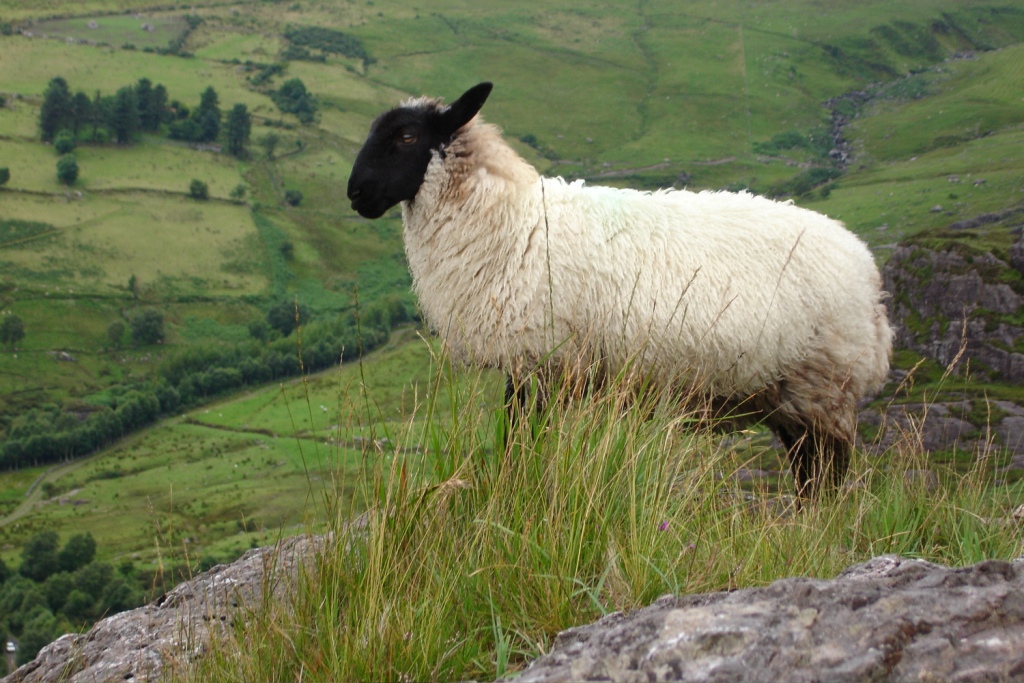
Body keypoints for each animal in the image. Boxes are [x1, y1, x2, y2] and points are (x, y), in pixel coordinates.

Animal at [347, 82, 893, 498]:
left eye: (407, 136)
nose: (354, 194)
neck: (511, 221)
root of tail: (868, 274)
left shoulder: (545, 359)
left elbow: (521, 442)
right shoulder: (537, 367)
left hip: (823, 384)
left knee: (825, 480)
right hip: (788, 396)